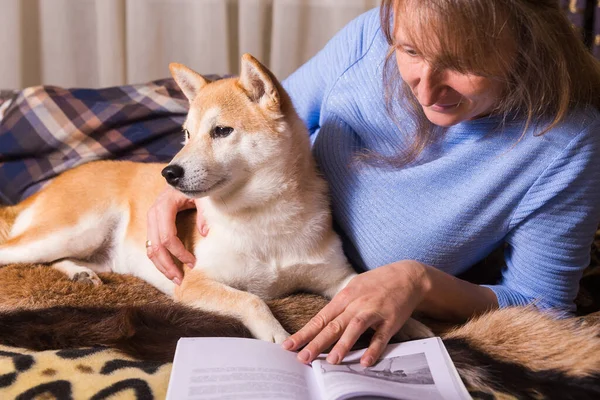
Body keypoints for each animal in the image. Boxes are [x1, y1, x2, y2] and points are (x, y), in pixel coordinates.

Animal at [0, 54, 432, 344]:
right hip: (71, 230)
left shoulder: (337, 278)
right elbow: (252, 301)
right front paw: (276, 335)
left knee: (58, 261)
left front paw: (415, 325)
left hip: (92, 247)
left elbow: (368, 289)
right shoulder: (195, 284)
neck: (265, 217)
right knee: (14, 253)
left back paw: (80, 274)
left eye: (221, 131)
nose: (169, 173)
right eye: (187, 135)